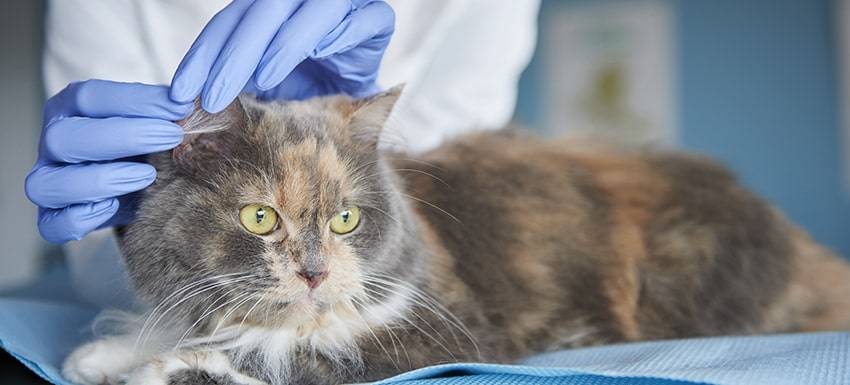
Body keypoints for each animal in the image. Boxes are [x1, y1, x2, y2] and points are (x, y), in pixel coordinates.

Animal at [61, 88, 848, 384]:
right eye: (261, 218)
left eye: (345, 218)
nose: (314, 272)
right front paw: (102, 354)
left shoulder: (437, 332)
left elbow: (283, 353)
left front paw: (161, 370)